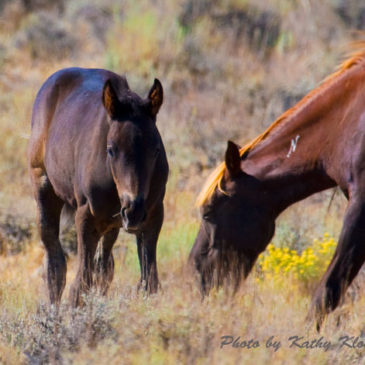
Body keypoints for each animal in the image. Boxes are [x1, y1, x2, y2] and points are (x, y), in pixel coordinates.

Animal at [28, 67, 168, 304]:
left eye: (156, 150)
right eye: (111, 149)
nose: (134, 210)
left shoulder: (153, 217)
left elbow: (149, 284)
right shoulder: (86, 217)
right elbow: (80, 285)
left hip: (112, 224)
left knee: (104, 266)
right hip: (43, 184)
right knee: (55, 265)